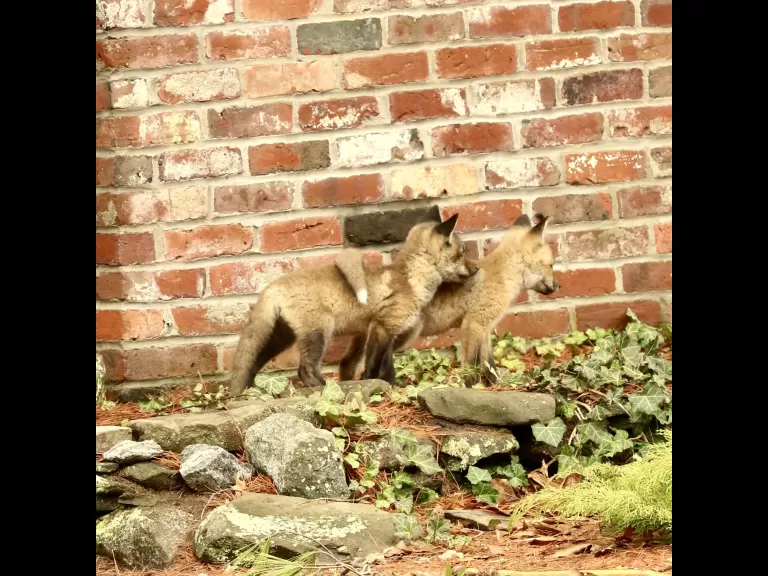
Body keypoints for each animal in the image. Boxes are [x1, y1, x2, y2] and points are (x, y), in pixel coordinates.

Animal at [228, 206, 479, 396]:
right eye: (462, 253)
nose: (477, 268)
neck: (411, 280)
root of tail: (272, 285)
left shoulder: (385, 332)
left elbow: (387, 366)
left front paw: (391, 385)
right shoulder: (383, 327)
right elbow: (374, 365)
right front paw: (373, 383)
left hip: (283, 337)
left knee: (254, 362)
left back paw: (250, 390)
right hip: (319, 333)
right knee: (305, 369)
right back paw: (325, 387)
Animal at [335, 213, 560, 387]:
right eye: (551, 265)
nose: (558, 286)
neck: (503, 276)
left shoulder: (485, 329)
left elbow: (490, 366)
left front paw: (496, 386)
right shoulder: (473, 325)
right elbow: (471, 366)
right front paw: (472, 388)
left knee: (347, 363)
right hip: (400, 334)